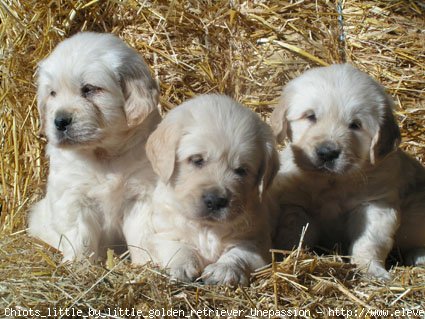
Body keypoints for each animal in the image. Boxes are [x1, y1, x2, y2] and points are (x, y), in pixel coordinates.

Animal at [26, 32, 159, 262]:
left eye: (88, 89)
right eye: (52, 93)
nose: (60, 121)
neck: (104, 154)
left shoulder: (141, 195)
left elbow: (142, 236)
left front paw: (147, 264)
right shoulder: (73, 197)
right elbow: (80, 237)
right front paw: (79, 263)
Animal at [123, 94, 278, 284]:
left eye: (241, 170)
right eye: (197, 160)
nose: (216, 201)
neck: (206, 227)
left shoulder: (256, 242)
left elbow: (239, 254)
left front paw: (223, 270)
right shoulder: (161, 235)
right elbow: (178, 247)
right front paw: (183, 266)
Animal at [270, 63, 424, 278]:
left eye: (355, 125)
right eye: (311, 116)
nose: (327, 153)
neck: (333, 181)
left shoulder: (376, 204)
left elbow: (369, 241)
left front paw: (372, 270)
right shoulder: (295, 204)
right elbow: (294, 232)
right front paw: (287, 255)